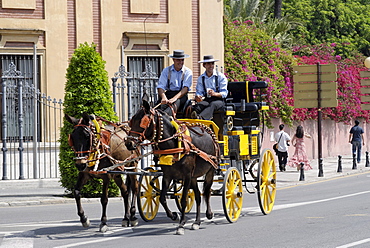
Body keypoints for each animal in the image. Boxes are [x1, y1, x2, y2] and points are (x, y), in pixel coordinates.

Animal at [125, 100, 218, 234]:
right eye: (131, 121)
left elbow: (183, 200)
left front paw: (181, 224)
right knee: (198, 196)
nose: (128, 143)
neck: (175, 145)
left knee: (207, 191)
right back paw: (196, 222)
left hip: (210, 170)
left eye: (144, 121)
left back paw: (209, 214)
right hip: (194, 177)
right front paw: (174, 215)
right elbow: (162, 198)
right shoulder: (168, 175)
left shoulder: (187, 175)